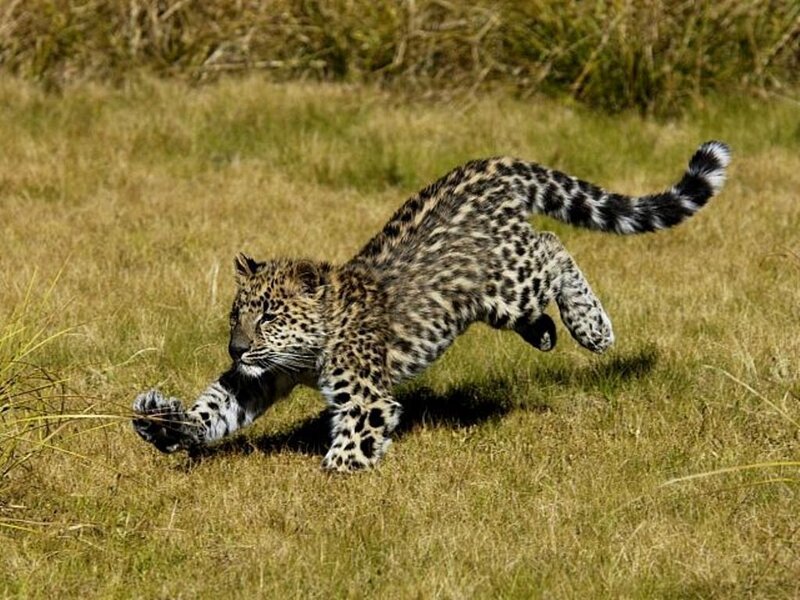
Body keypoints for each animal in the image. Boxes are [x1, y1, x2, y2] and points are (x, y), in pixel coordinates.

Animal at [133, 140, 730, 471]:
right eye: (237, 316)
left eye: (271, 317)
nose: (236, 348)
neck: (309, 349)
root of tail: (494, 164)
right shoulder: (259, 379)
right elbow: (216, 407)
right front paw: (166, 424)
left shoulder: (366, 397)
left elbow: (351, 444)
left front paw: (336, 482)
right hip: (496, 300)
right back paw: (545, 333)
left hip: (510, 276)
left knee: (553, 246)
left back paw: (592, 328)